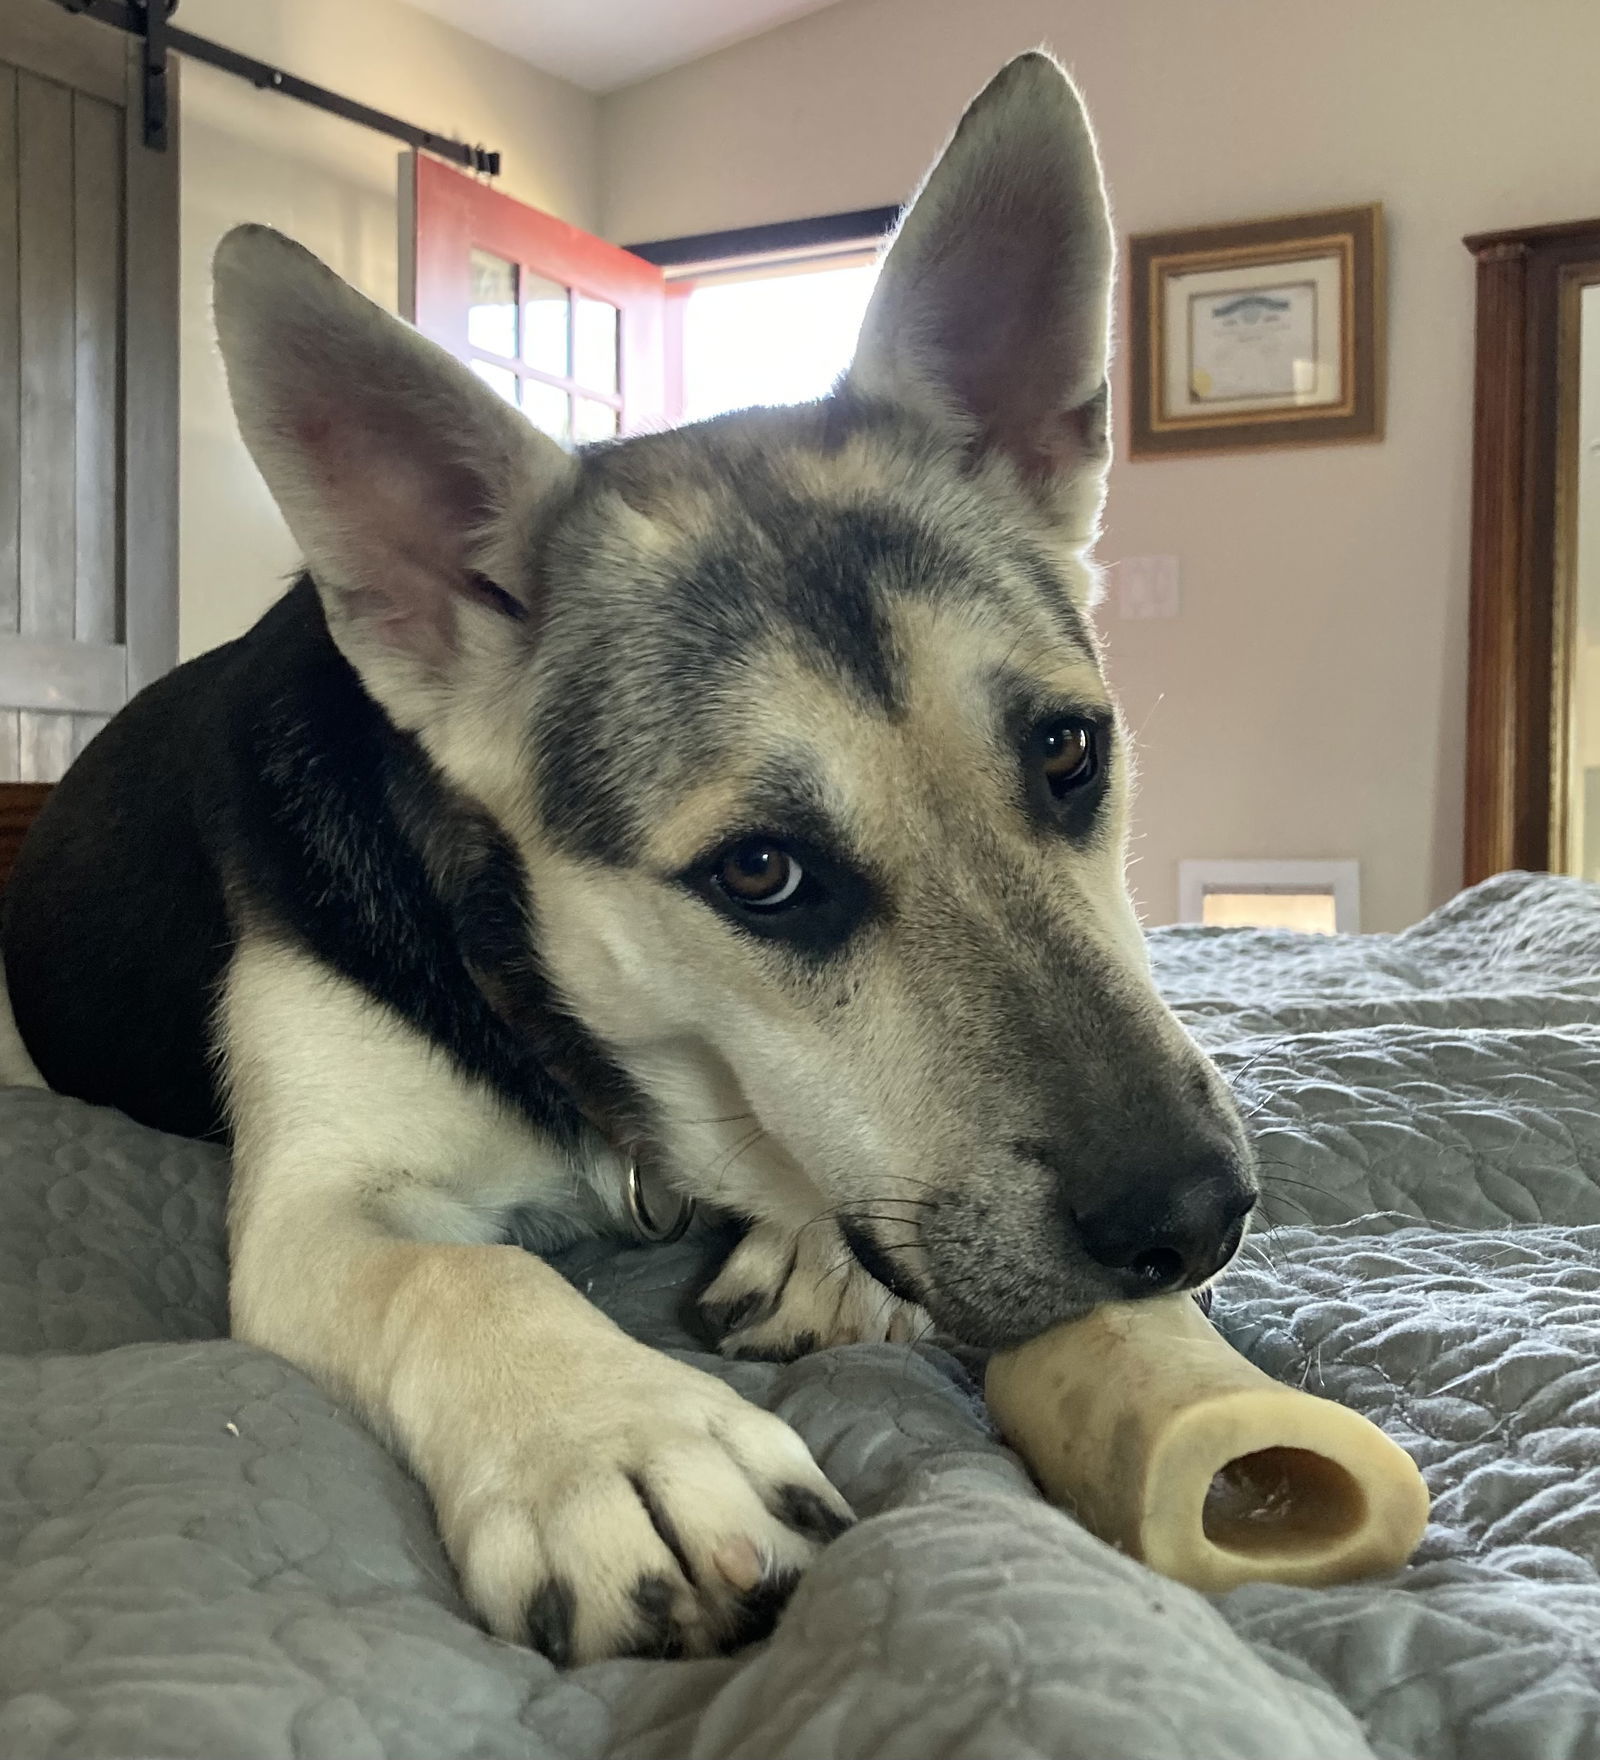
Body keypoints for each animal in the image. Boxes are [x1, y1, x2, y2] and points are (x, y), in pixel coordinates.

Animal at [0, 51, 1253, 1661]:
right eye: (760, 874)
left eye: (1066, 754)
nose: (1194, 1220)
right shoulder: (317, 1204)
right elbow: (460, 1269)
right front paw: (615, 1438)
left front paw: (818, 1244)